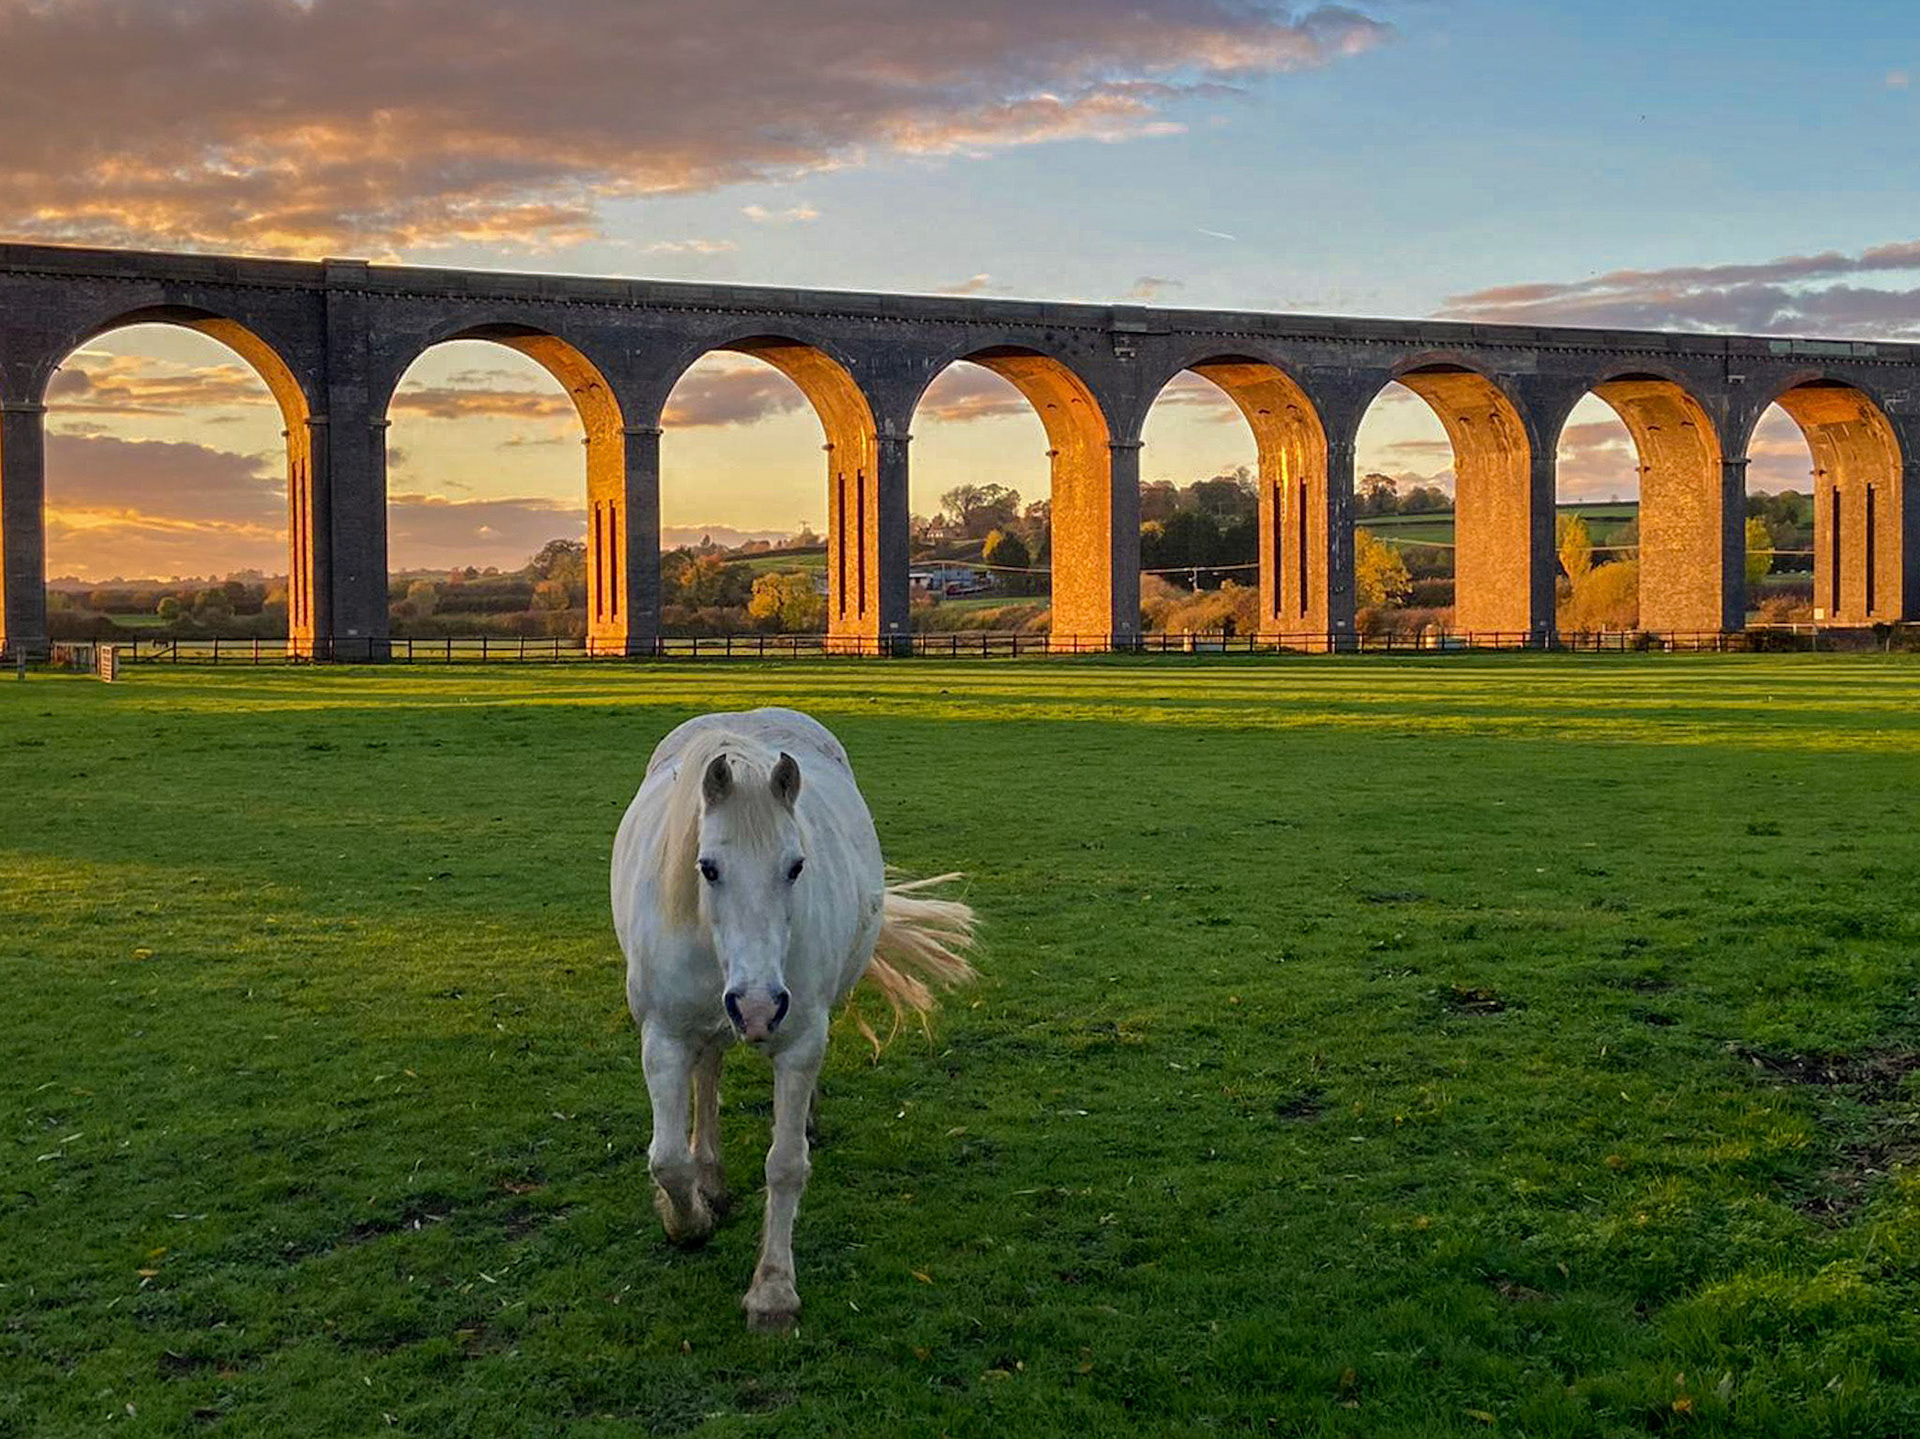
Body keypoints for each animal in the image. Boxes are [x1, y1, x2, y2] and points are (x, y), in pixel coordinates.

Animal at [610, 706, 978, 1330]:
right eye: (707, 867)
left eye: (796, 865)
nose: (757, 1007)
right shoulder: (663, 1037)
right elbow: (667, 1160)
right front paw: (688, 1221)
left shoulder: (801, 1039)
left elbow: (784, 1164)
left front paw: (773, 1291)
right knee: (708, 1071)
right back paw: (711, 1178)